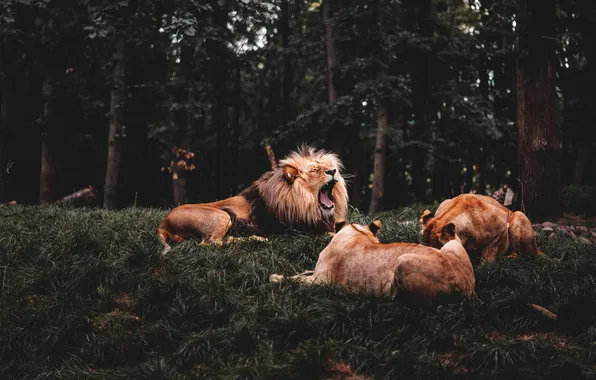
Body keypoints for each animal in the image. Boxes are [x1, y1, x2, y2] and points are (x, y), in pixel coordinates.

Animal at [156, 145, 350, 255]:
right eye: (314, 170)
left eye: (327, 166)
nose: (333, 171)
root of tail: (163, 223)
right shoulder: (295, 230)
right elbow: (329, 233)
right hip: (221, 215)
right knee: (210, 243)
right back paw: (257, 240)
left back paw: (255, 238)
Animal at [270, 218, 474, 304]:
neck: (357, 233)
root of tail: (467, 286)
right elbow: (301, 272)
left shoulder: (321, 282)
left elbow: (295, 279)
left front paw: (274, 277)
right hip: (452, 244)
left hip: (404, 260)